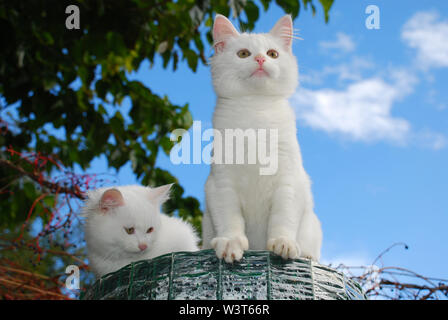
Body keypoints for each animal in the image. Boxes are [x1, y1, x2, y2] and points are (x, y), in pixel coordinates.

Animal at [202, 14, 322, 262]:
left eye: (272, 54)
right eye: (243, 54)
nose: (259, 59)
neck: (255, 110)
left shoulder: (288, 180)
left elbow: (283, 218)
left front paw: (283, 243)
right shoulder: (220, 183)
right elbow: (230, 219)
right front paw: (230, 243)